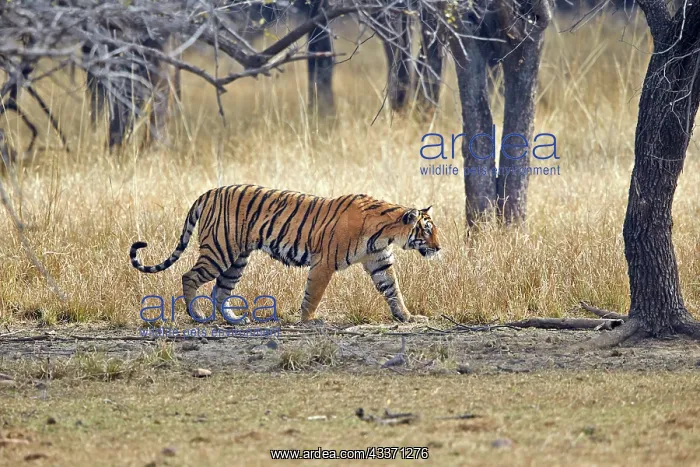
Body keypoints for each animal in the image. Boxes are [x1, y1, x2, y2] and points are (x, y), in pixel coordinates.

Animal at [129, 185, 440, 324]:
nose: (439, 248)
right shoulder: (324, 263)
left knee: (221, 290)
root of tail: (208, 192)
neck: (385, 234)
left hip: (237, 258)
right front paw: (308, 319)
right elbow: (313, 293)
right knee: (189, 276)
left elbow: (392, 289)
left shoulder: (379, 261)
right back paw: (196, 314)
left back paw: (234, 319)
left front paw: (406, 316)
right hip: (219, 251)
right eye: (426, 231)